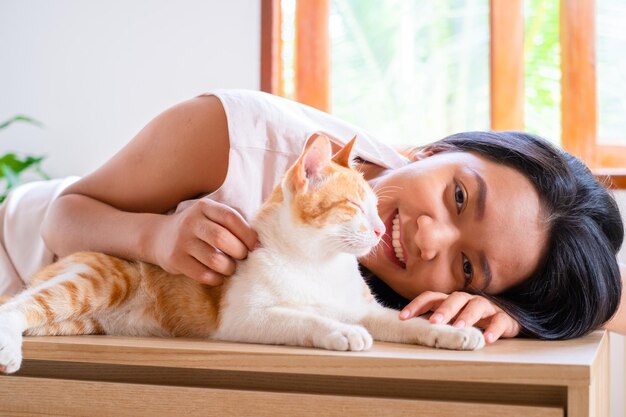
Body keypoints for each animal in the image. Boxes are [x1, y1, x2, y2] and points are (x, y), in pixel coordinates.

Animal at [0, 134, 482, 374]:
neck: (317, 265)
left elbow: (407, 323)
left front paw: (451, 332)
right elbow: (304, 320)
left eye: (376, 208)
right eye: (352, 207)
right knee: (16, 307)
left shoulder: (368, 311)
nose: (381, 230)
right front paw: (340, 332)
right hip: (99, 282)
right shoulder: (246, 318)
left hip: (79, 322)